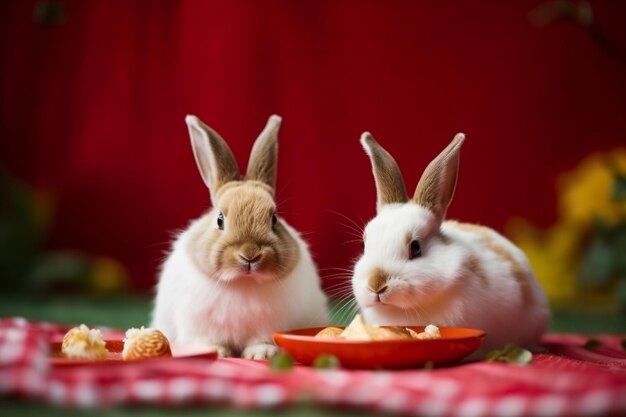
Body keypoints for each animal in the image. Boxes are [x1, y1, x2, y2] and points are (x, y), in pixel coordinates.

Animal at [151, 113, 326, 358]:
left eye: (274, 219)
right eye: (220, 219)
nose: (249, 254)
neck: (243, 281)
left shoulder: (268, 326)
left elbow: (261, 340)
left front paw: (261, 354)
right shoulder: (199, 325)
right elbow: (208, 339)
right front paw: (216, 350)